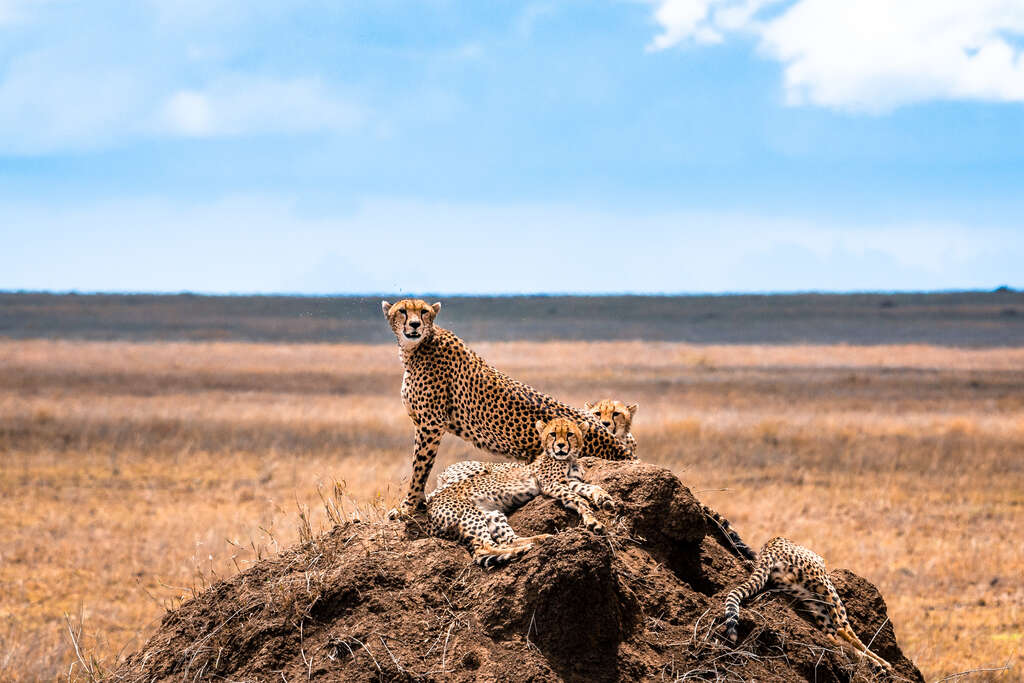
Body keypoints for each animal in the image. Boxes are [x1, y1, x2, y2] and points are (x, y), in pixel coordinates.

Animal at [380, 301, 634, 518]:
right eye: (403, 311)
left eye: (423, 312)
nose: (415, 324)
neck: (416, 348)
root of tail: (626, 452)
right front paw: (415, 504)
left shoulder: (431, 424)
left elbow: (420, 466)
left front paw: (408, 507)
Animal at [423, 419, 614, 569]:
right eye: (553, 434)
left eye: (570, 434)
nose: (560, 446)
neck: (567, 459)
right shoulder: (551, 484)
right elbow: (578, 498)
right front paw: (592, 520)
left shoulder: (570, 482)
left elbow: (590, 488)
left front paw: (603, 501)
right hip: (470, 513)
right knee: (482, 548)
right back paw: (522, 549)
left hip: (492, 514)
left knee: (505, 540)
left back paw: (537, 540)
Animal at [724, 536, 892, 675]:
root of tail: (768, 548)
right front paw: (881, 663)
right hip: (825, 585)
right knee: (842, 628)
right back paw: (879, 663)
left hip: (807, 595)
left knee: (831, 635)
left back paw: (869, 661)